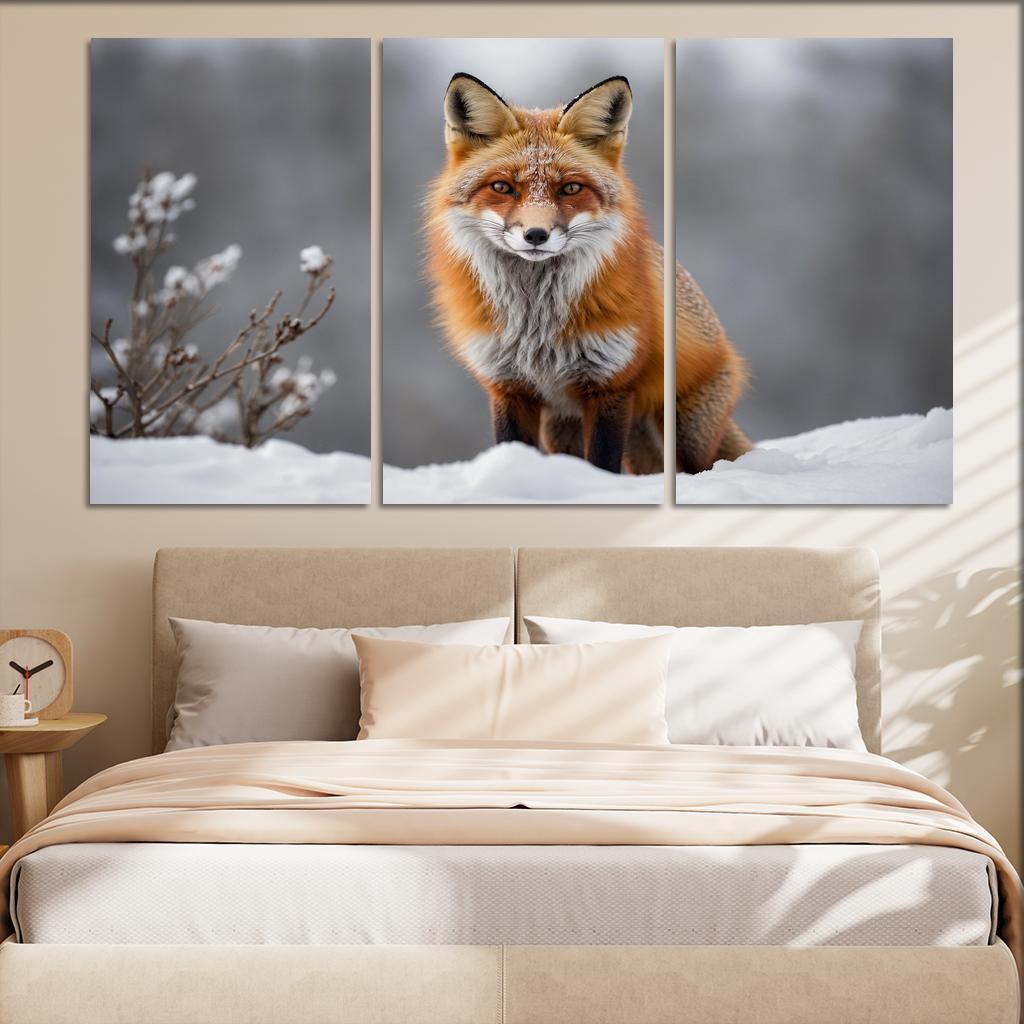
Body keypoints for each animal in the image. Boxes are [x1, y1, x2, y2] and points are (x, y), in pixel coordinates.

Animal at [425, 72, 751, 475]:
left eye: (570, 188)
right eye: (502, 187)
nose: (536, 234)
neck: (535, 323)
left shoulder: (610, 385)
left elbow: (603, 463)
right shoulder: (509, 387)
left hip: (684, 435)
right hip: (564, 429)